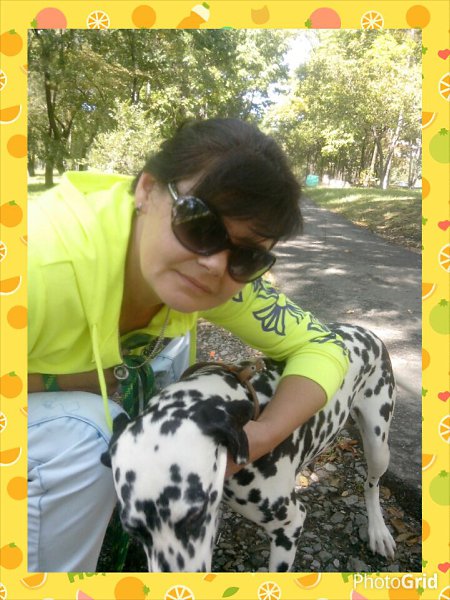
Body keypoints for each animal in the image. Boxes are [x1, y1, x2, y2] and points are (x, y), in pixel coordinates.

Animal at [102, 323, 397, 572]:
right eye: (134, 531)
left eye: (195, 515)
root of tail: (363, 330)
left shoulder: (289, 526)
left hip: (377, 447)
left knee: (371, 485)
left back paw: (378, 530)